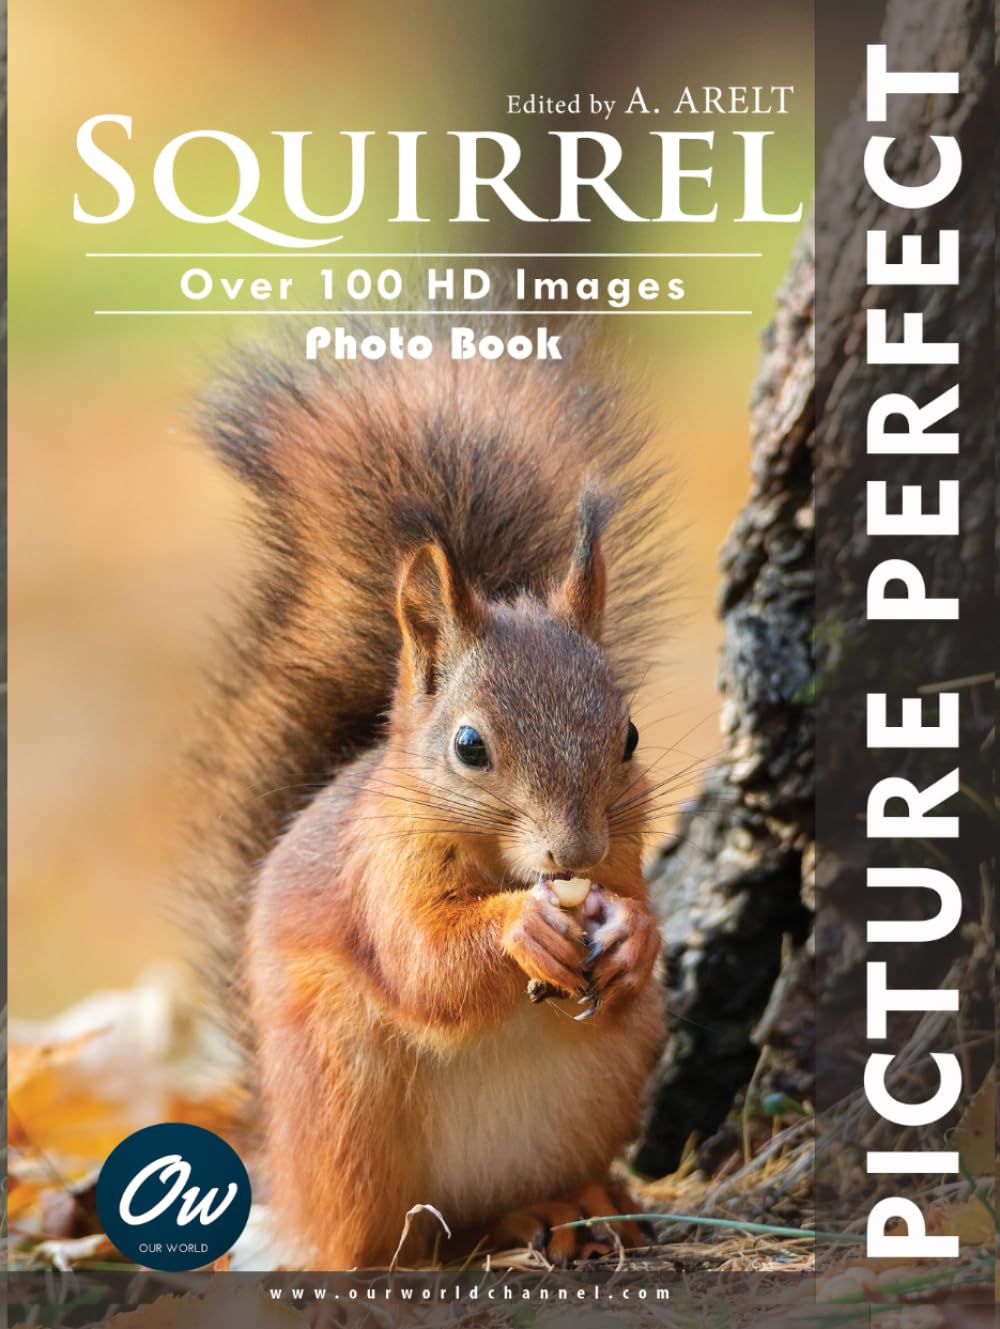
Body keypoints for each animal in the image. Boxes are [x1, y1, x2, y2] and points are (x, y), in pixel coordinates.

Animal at [186, 325, 671, 1269]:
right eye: (469, 746)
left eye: (630, 734)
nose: (576, 853)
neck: (503, 864)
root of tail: (281, 1169)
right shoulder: (380, 868)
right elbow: (424, 961)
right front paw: (523, 929)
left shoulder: (626, 850)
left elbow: (636, 911)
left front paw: (632, 933)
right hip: (344, 1099)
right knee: (373, 1236)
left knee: (494, 1211)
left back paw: (568, 1205)